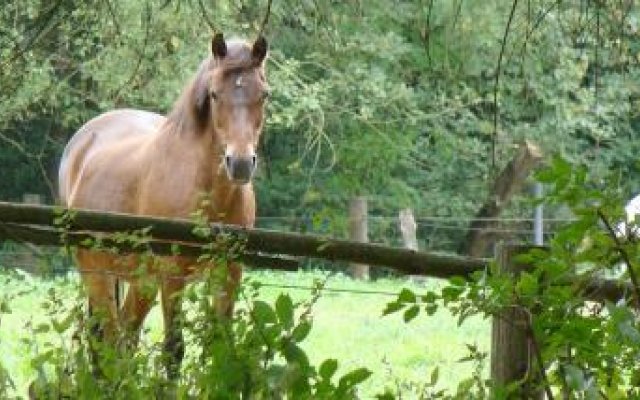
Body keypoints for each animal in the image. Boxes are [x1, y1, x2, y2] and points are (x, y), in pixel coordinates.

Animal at [57, 34, 270, 376]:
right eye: (214, 94)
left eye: (264, 94)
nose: (239, 164)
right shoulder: (172, 275)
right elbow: (174, 349)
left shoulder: (229, 272)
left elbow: (221, 346)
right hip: (96, 272)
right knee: (105, 340)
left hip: (141, 280)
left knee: (126, 336)